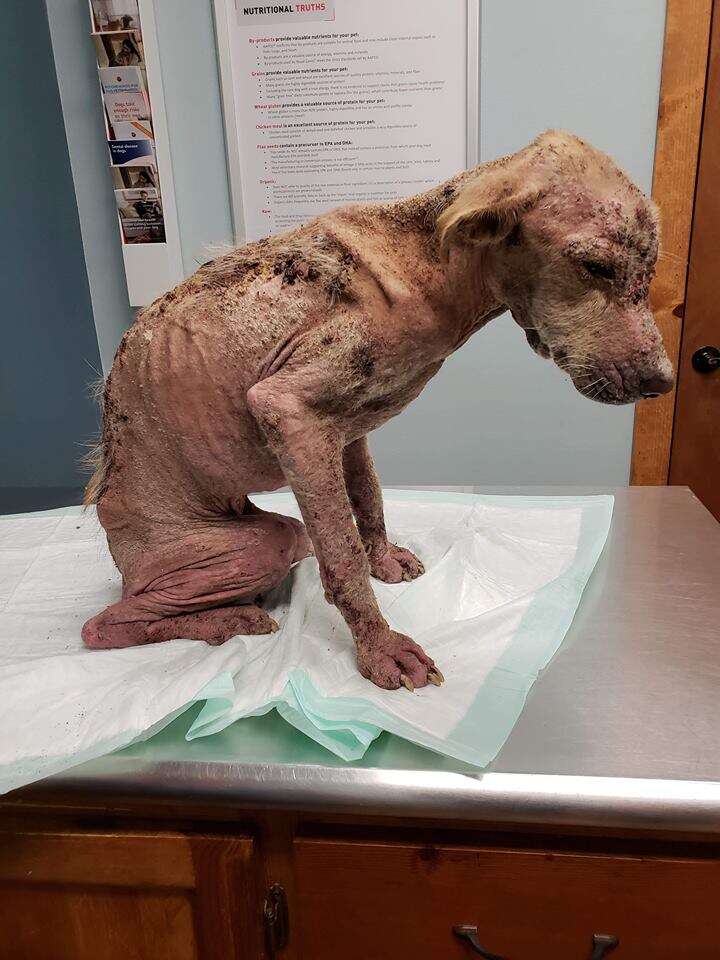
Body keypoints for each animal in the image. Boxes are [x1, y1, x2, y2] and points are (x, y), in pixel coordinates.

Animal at [83, 133, 676, 688]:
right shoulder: (289, 411)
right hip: (241, 551)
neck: (430, 262)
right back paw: (225, 621)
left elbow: (367, 496)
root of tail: (120, 555)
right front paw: (381, 647)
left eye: (650, 271)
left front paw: (384, 559)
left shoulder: (347, 431)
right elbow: (342, 560)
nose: (662, 381)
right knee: (105, 624)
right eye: (596, 266)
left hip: (265, 532)